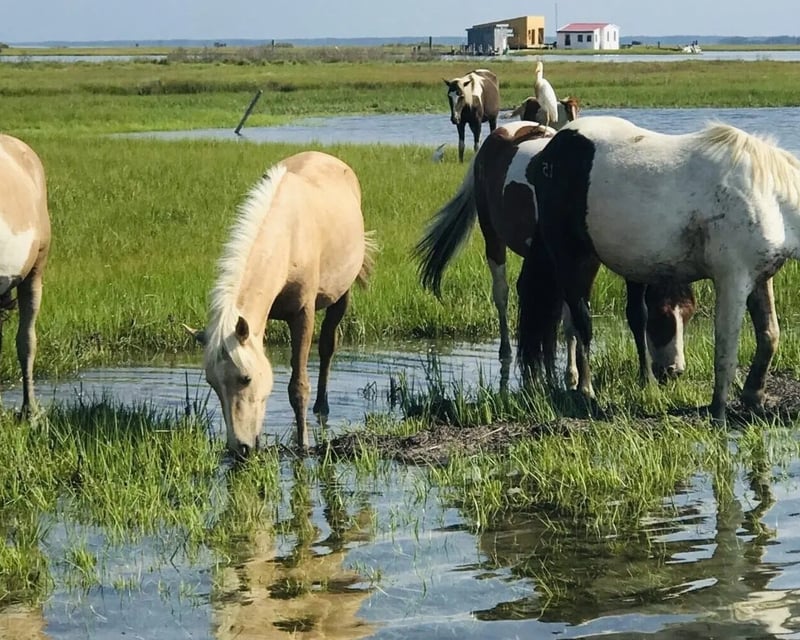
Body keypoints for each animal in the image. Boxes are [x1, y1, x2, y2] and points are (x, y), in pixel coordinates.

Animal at [185, 151, 377, 455]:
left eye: (246, 378)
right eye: (212, 383)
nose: (240, 449)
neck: (287, 238)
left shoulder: (302, 314)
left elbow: (298, 386)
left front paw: (303, 445)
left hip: (341, 295)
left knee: (327, 347)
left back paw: (322, 407)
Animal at [415, 121, 696, 392]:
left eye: (688, 315)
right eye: (662, 317)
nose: (676, 370)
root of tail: (499, 135)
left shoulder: (593, 263)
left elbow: (580, 316)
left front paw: (572, 373)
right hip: (493, 237)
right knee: (502, 294)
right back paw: (506, 351)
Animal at [516, 115, 798, 422]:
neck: (770, 197)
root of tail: (549, 153)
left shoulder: (760, 277)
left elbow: (769, 335)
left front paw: (754, 397)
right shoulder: (732, 280)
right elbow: (726, 348)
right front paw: (719, 411)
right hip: (572, 258)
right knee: (582, 323)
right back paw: (586, 391)